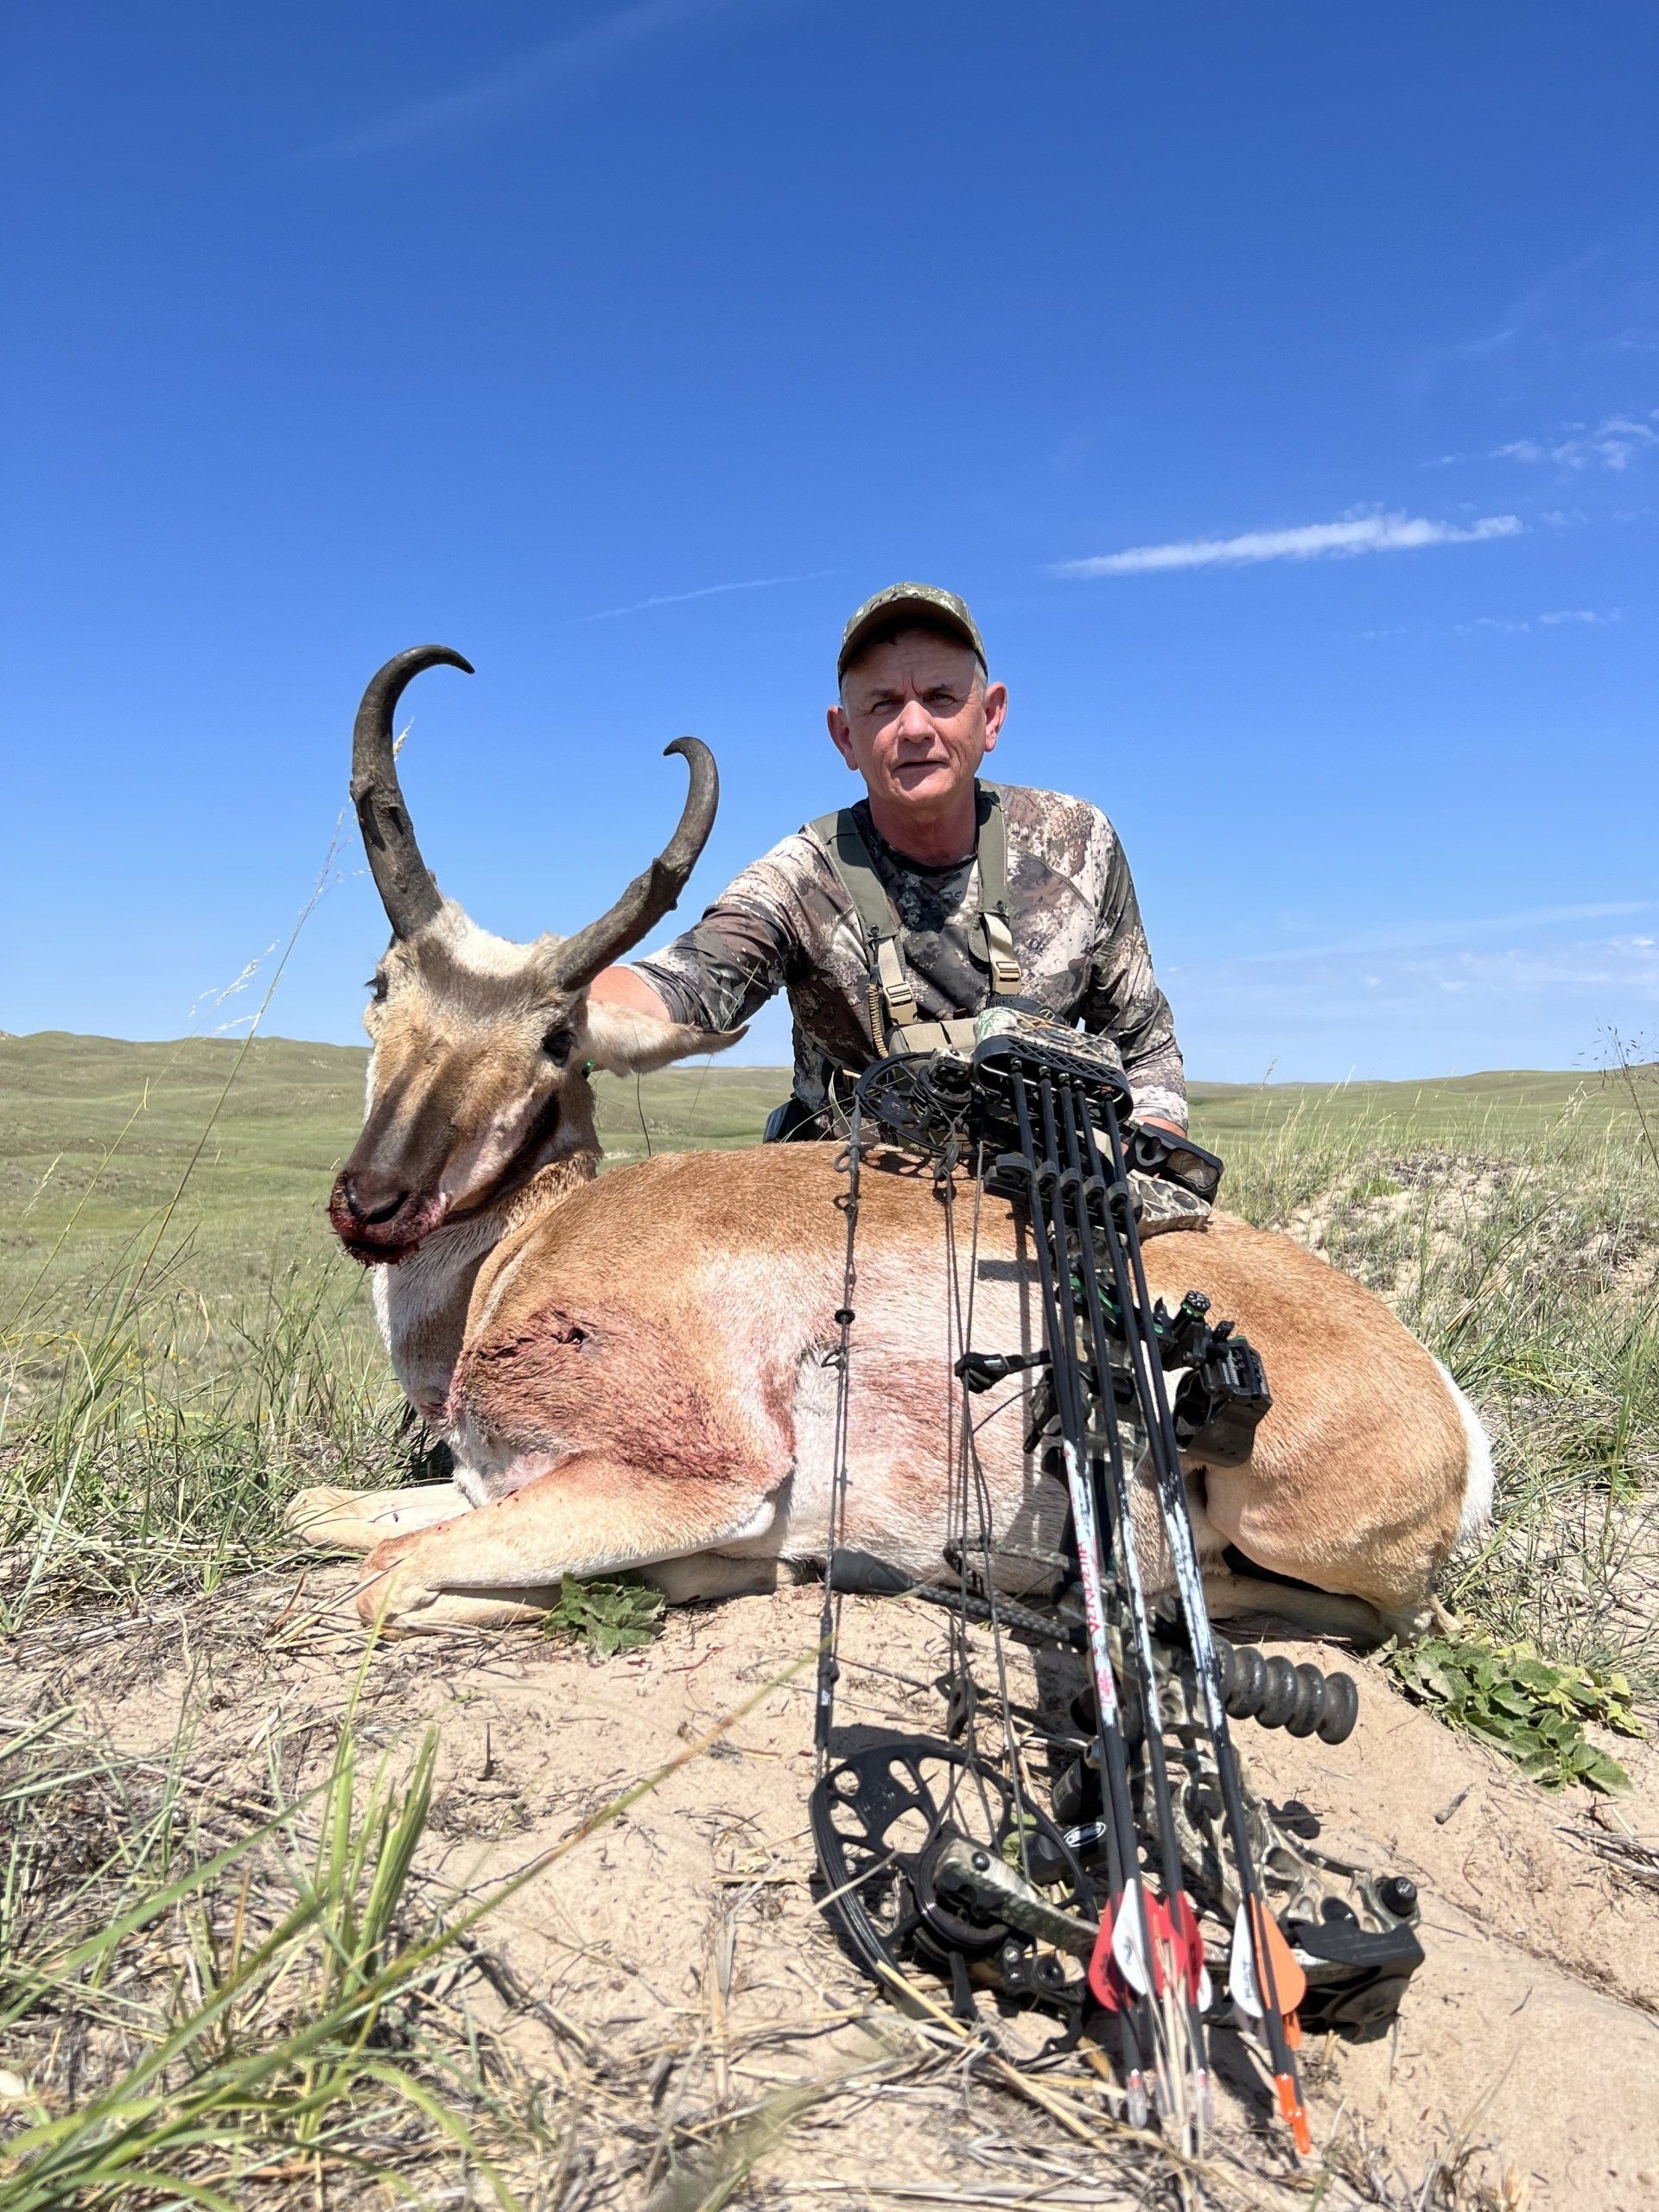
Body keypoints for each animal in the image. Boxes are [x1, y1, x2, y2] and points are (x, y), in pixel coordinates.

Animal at [288, 647, 1493, 1640]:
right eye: (380, 983)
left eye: (554, 1037)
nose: (374, 1202)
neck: (529, 1246)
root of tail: (1446, 1403)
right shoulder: (487, 1484)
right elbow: (321, 1514)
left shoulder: (693, 1478)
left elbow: (389, 1578)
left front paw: (725, 1572)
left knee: (1373, 1613)